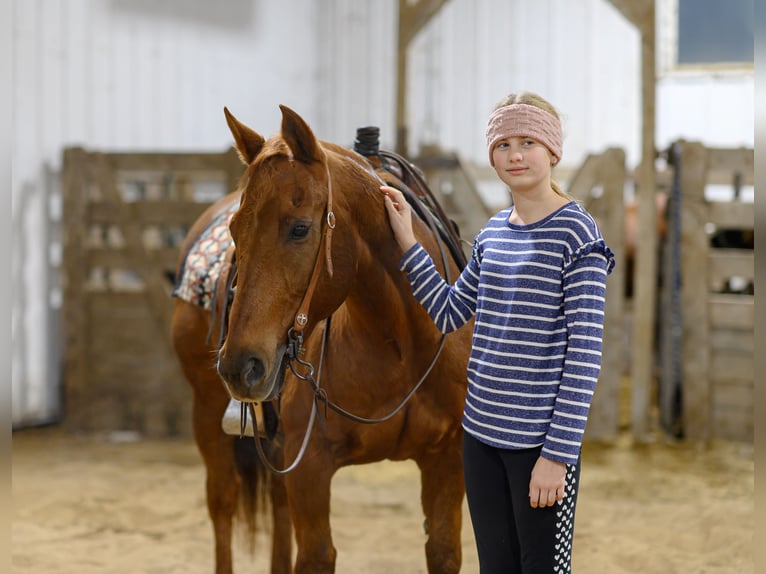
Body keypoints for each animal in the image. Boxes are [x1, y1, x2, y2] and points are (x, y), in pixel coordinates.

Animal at [170, 105, 472, 574]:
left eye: (299, 229)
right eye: (237, 230)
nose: (239, 365)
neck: (399, 346)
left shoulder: (446, 458)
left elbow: (442, 551)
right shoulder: (309, 466)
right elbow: (316, 553)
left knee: (276, 507)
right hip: (207, 410)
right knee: (223, 502)